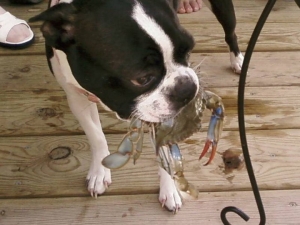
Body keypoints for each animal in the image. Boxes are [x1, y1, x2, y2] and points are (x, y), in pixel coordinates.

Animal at [29, 0, 241, 211]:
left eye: (189, 51)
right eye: (142, 78)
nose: (187, 87)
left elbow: (164, 149)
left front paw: (170, 189)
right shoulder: (76, 97)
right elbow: (96, 136)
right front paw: (99, 172)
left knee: (230, 32)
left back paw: (237, 59)